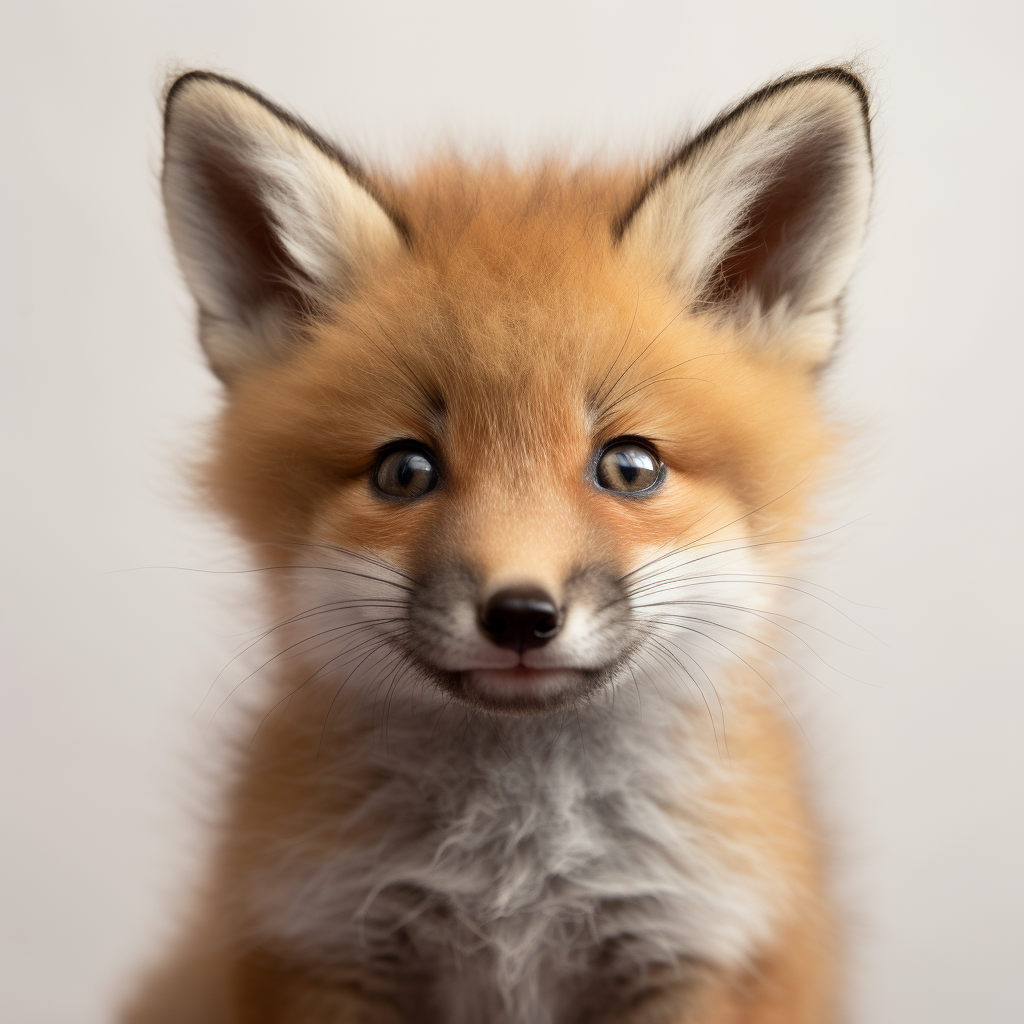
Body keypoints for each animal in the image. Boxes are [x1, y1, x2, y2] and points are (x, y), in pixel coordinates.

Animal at [125, 68, 872, 1019]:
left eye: (629, 467)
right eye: (404, 471)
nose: (520, 615)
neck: (518, 872)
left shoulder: (694, 949)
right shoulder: (324, 945)